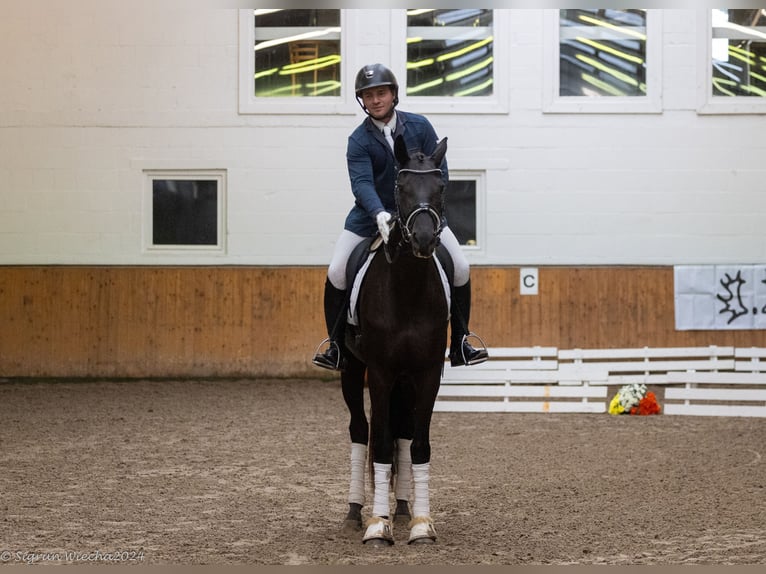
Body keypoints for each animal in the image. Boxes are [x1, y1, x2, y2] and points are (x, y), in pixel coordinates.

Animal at [340, 135, 450, 548]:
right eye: (401, 188)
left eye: (441, 187)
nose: (422, 239)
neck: (407, 290)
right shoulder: (381, 373)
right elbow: (382, 443)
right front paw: (377, 525)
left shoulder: (427, 373)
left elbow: (417, 444)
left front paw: (421, 523)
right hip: (352, 370)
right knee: (360, 432)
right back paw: (355, 512)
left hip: (407, 379)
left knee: (403, 432)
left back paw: (402, 508)